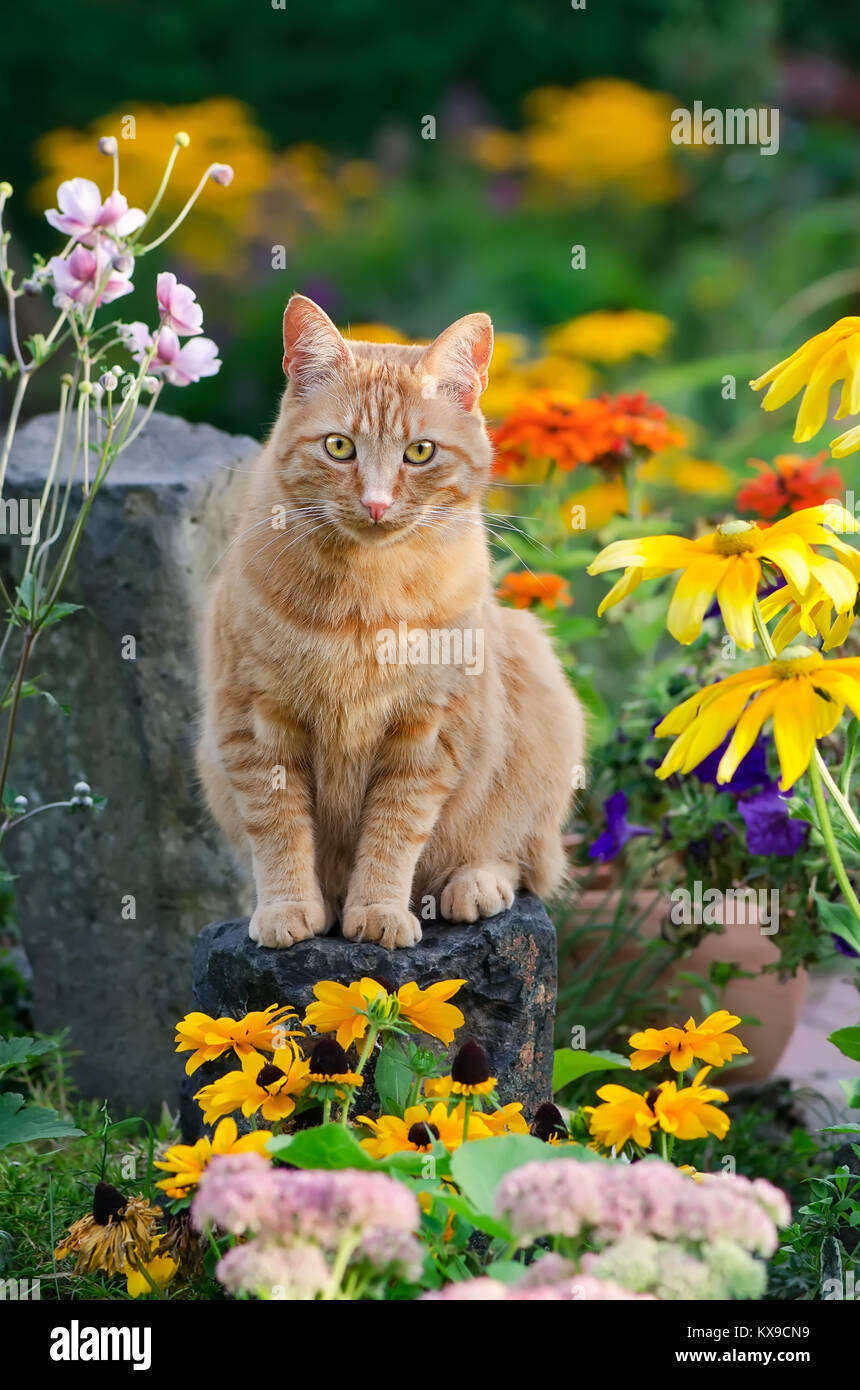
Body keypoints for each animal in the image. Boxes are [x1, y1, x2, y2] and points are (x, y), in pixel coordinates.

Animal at [198, 291, 586, 945]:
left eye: (420, 452)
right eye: (339, 447)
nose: (376, 503)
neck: (364, 596)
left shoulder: (428, 733)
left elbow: (394, 833)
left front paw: (378, 909)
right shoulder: (254, 724)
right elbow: (277, 829)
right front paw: (287, 907)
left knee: (521, 857)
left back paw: (474, 884)